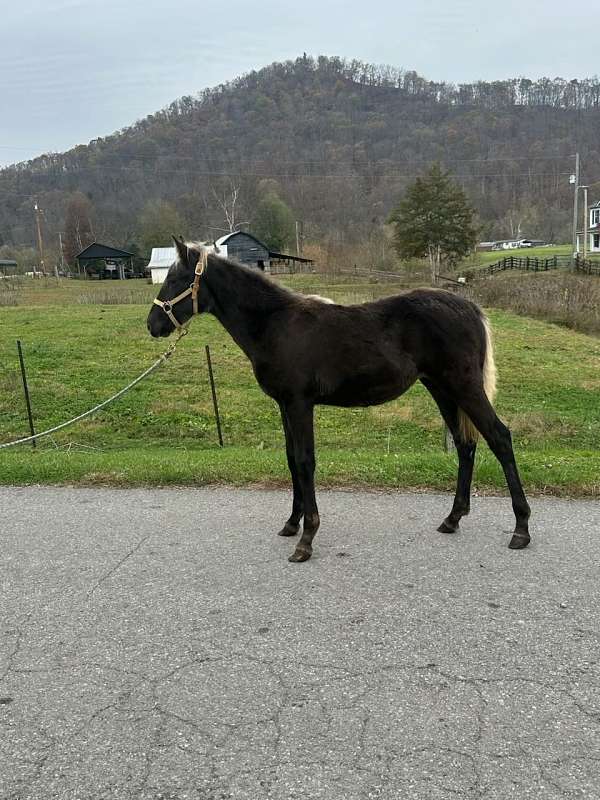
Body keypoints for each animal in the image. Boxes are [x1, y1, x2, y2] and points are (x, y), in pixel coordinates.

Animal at [145, 241, 528, 564]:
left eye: (177, 278)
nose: (153, 324)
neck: (275, 324)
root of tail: (470, 307)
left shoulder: (300, 404)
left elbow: (305, 462)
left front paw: (306, 539)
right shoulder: (284, 405)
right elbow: (291, 460)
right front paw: (292, 523)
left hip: (464, 387)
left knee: (499, 437)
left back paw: (521, 529)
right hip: (441, 389)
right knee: (465, 444)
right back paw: (452, 518)